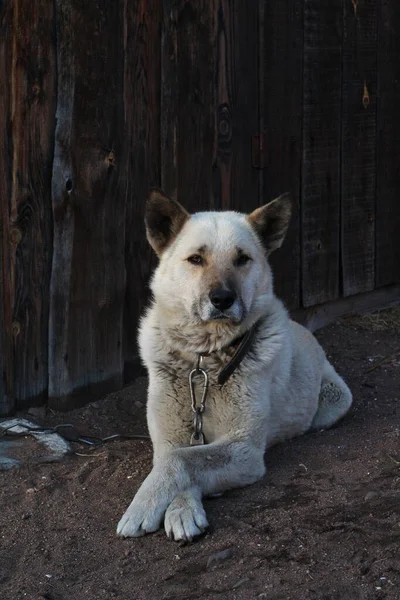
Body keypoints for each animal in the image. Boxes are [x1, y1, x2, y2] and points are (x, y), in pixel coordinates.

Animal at [116, 190, 354, 540]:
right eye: (196, 259)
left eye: (242, 259)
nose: (223, 299)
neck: (204, 361)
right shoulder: (169, 438)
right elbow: (174, 457)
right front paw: (177, 506)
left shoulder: (243, 449)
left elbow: (182, 461)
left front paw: (149, 507)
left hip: (335, 401)